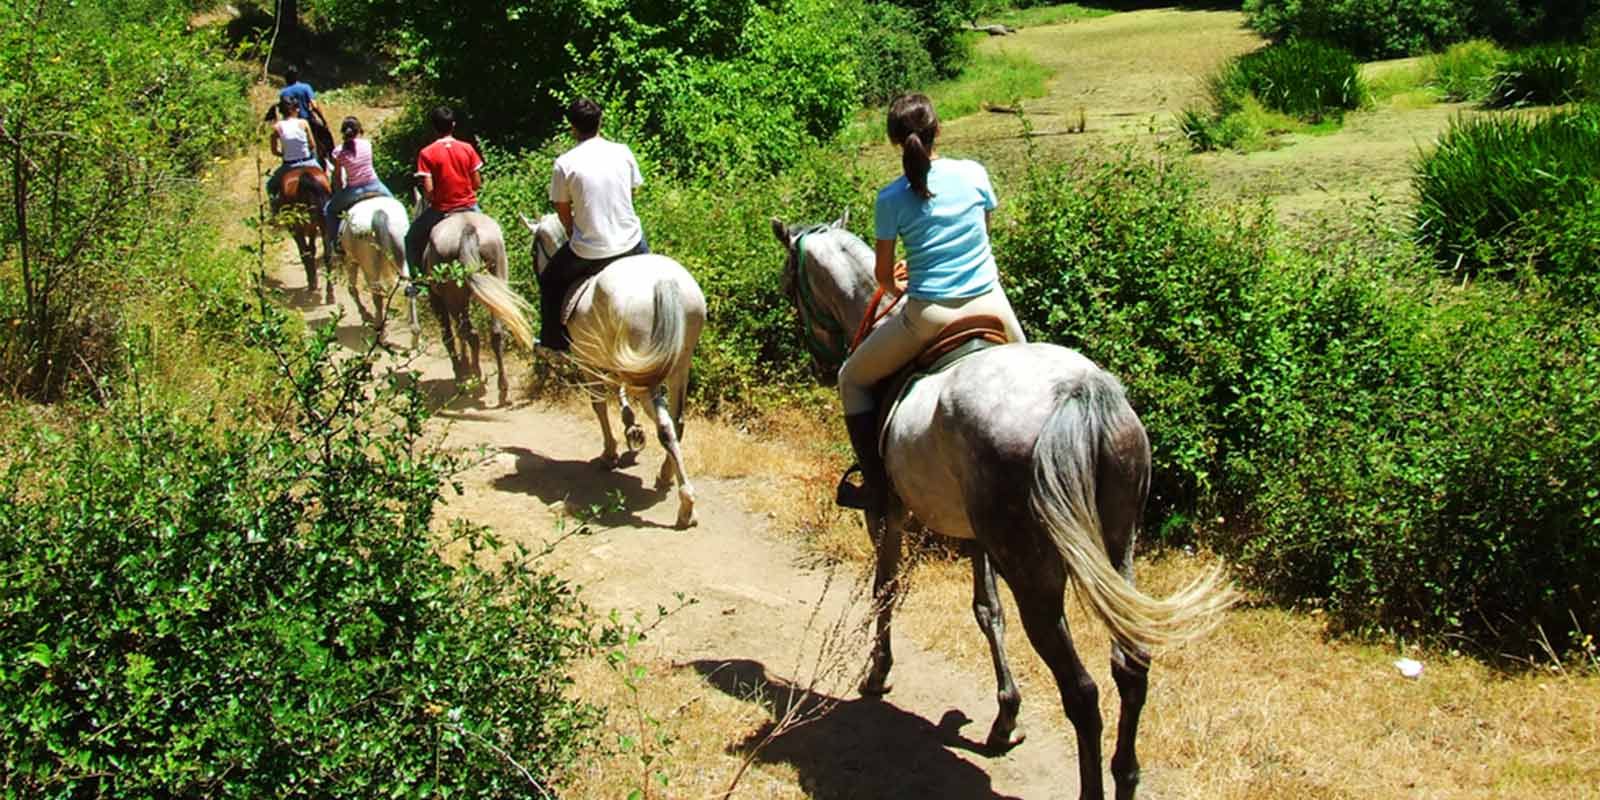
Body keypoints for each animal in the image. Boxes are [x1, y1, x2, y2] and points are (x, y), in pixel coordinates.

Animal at [273, 165, 332, 302]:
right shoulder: (312, 227)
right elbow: (312, 250)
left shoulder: (296, 229)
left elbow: (305, 252)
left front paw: (312, 281)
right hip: (323, 224)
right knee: (327, 255)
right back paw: (330, 294)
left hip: (298, 227)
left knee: (304, 252)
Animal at [337, 196, 419, 340]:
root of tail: (378, 213)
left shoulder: (351, 260)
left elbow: (352, 289)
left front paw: (365, 314)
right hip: (403, 255)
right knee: (410, 289)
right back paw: (415, 334)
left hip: (368, 265)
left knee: (376, 295)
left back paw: (380, 330)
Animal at [518, 214, 707, 531]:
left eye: (534, 251)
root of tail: (665, 282)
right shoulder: (617, 362)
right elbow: (618, 394)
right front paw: (631, 427)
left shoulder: (588, 361)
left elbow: (598, 405)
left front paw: (610, 452)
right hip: (677, 365)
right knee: (677, 422)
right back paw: (666, 475)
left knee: (665, 426)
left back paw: (685, 506)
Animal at [774, 214, 1235, 800]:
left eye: (789, 285)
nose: (818, 361)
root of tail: (1078, 393)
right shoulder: (978, 535)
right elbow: (986, 609)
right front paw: (1005, 716)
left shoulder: (889, 516)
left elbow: (886, 589)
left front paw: (878, 673)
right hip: (1115, 548)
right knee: (1130, 665)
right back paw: (1126, 774)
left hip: (1033, 570)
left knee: (1082, 691)